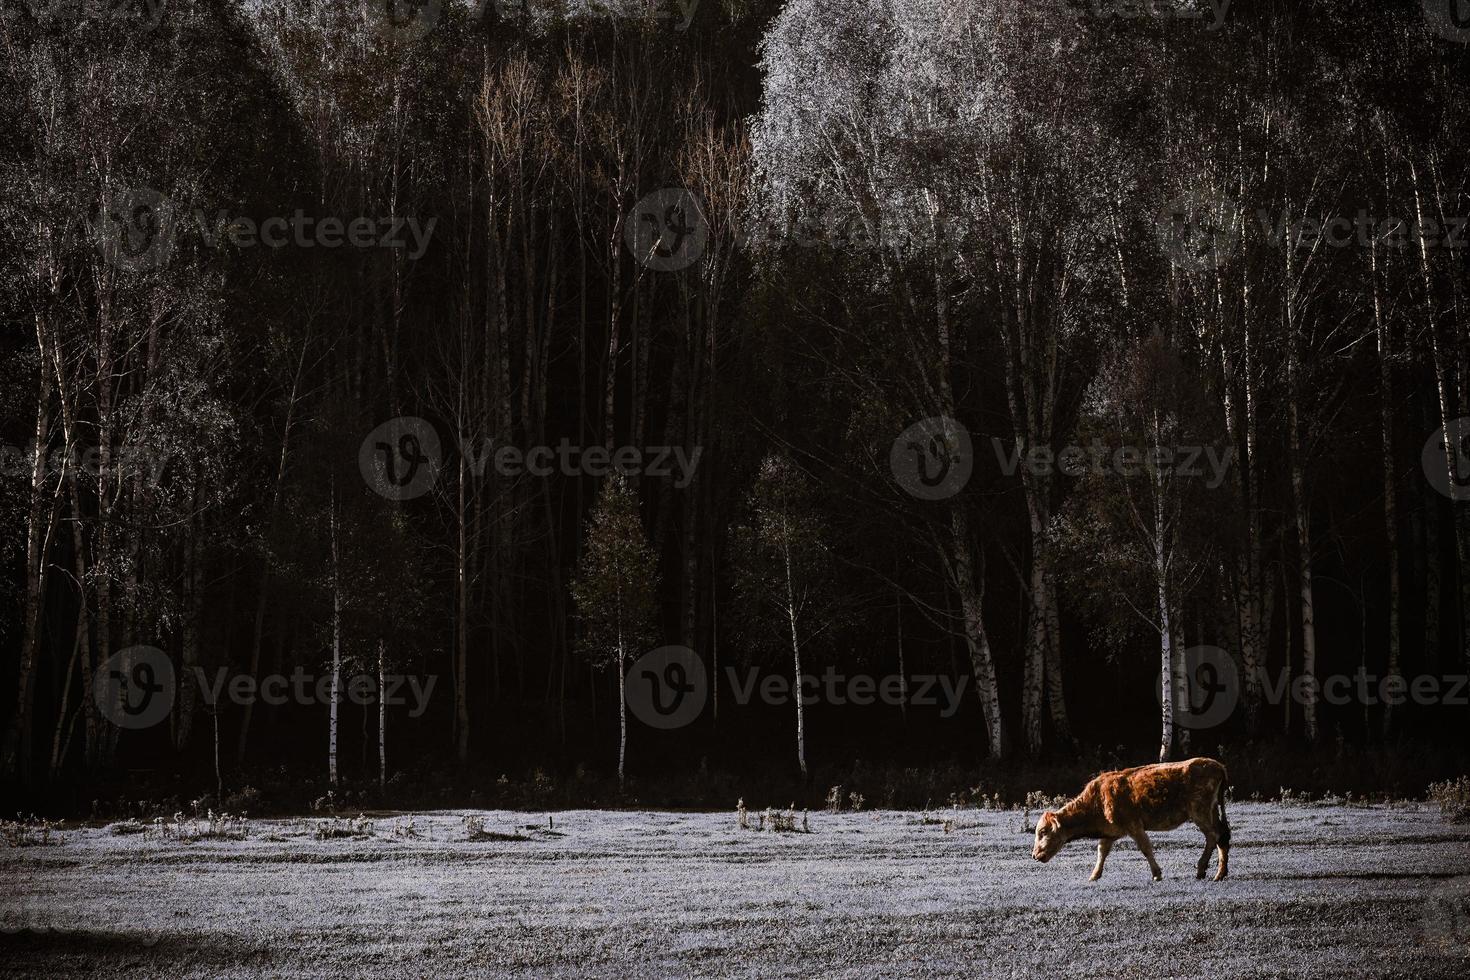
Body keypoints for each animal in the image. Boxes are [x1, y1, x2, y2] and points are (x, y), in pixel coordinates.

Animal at [1034, 758, 1228, 887]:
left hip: (1200, 813)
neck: (1098, 799)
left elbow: (1146, 848)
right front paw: (1094, 875)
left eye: (1043, 832)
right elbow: (1102, 851)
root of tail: (1217, 765)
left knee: (1213, 835)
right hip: (1212, 811)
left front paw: (1156, 874)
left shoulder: (1134, 827)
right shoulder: (1111, 832)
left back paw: (1203, 870)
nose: (1034, 855)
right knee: (1223, 837)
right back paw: (1220, 874)